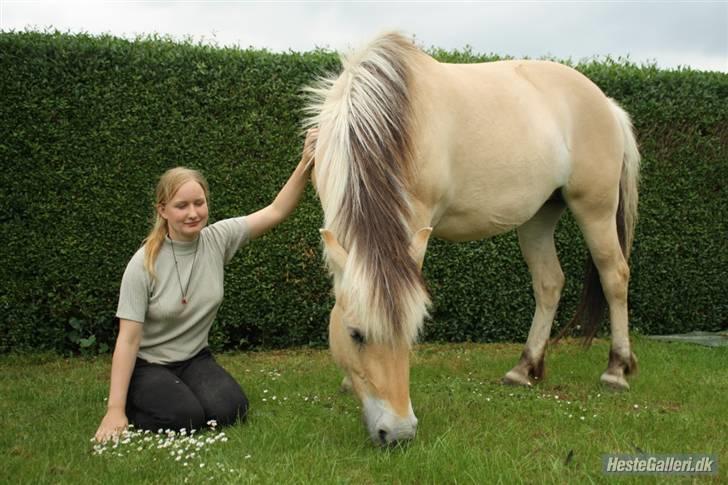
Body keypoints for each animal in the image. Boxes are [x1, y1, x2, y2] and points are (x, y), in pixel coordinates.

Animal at [304, 32, 640, 444]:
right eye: (355, 334)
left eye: (414, 331)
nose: (398, 432)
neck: (386, 116)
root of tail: (606, 103)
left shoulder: (416, 218)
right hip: (539, 217)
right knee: (549, 282)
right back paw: (524, 368)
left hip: (595, 209)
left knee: (614, 276)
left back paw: (615, 370)